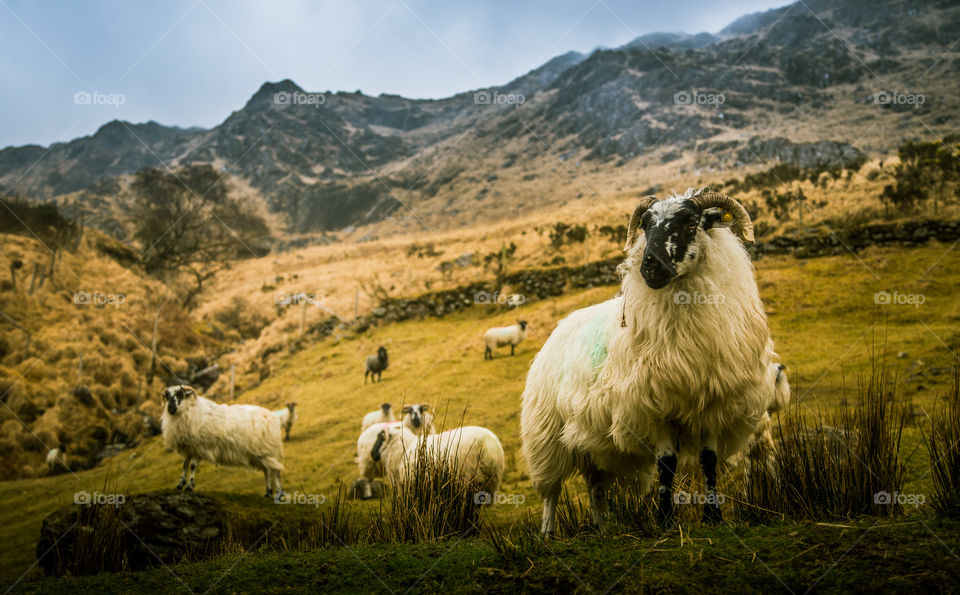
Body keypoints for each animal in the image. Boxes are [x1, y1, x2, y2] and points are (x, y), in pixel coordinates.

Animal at [370, 424, 506, 502]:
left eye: (380, 438)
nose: (372, 454)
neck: (404, 448)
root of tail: (488, 445)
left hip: (466, 478)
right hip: (487, 483)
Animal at [520, 186, 768, 532]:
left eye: (691, 222)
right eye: (645, 226)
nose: (649, 266)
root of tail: (561, 326)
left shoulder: (712, 404)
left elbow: (709, 462)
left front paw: (713, 517)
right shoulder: (654, 406)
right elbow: (667, 464)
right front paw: (664, 520)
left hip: (591, 440)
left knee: (596, 485)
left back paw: (602, 528)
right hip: (546, 434)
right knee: (551, 491)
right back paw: (548, 532)